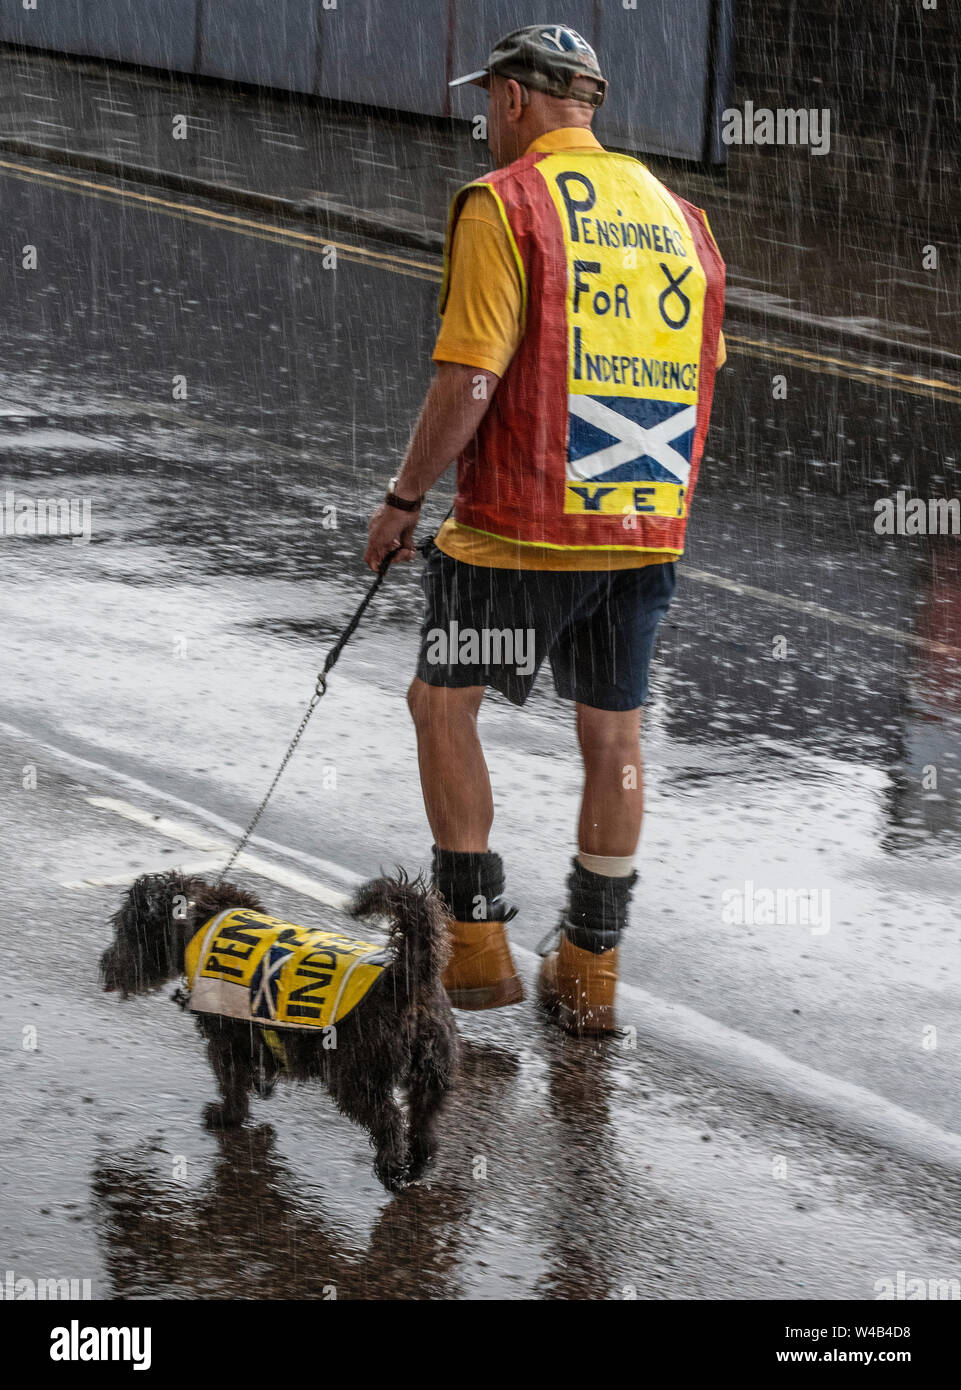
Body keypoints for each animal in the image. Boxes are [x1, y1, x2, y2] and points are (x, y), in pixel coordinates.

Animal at [99, 867, 461, 1184]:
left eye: (123, 930)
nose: (103, 966)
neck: (195, 926)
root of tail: (405, 979)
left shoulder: (225, 1040)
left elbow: (230, 1082)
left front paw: (226, 1116)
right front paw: (260, 1086)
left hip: (355, 1077)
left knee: (389, 1120)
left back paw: (389, 1168)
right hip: (431, 1077)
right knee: (425, 1128)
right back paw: (416, 1168)